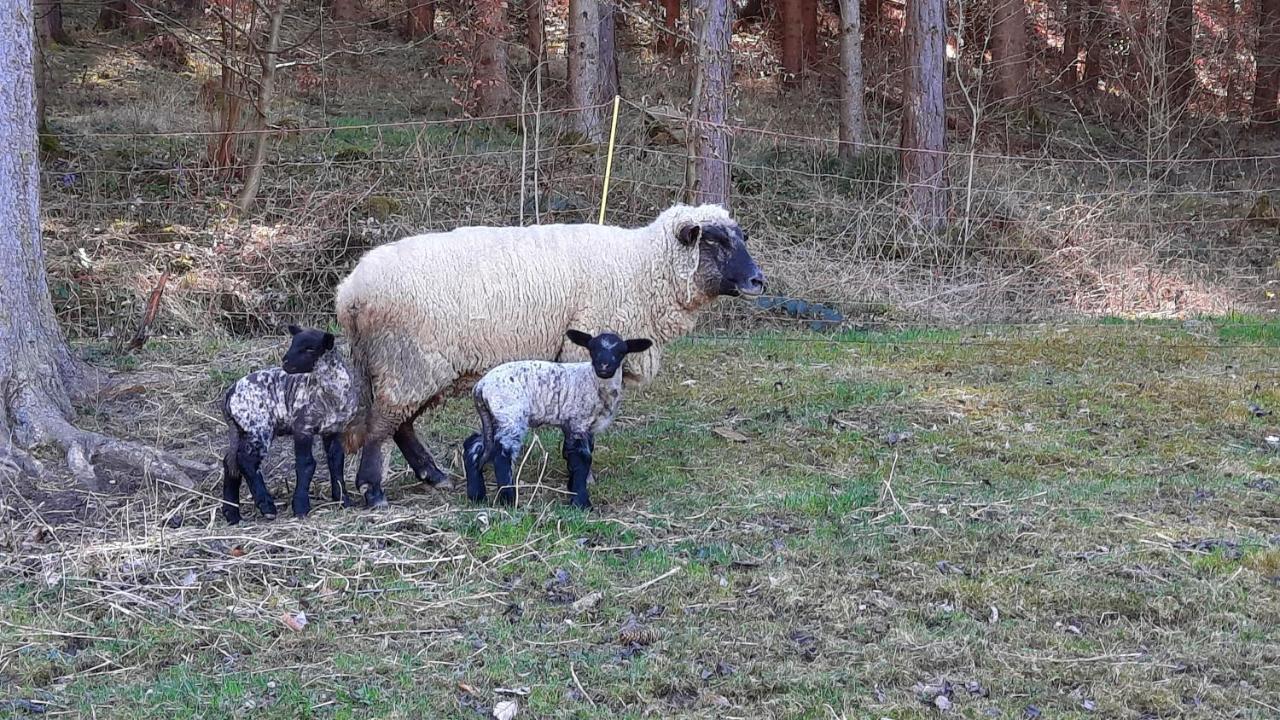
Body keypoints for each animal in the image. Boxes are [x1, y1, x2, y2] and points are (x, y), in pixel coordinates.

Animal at [221, 325, 358, 520]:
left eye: (310, 348)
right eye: (293, 343)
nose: (285, 361)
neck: (331, 393)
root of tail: (229, 394)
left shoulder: (335, 429)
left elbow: (336, 461)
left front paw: (343, 500)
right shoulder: (302, 426)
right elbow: (306, 464)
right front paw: (301, 507)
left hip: (240, 428)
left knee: (231, 462)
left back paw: (232, 513)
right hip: (259, 426)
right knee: (246, 461)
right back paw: (266, 506)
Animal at [460, 327, 650, 507]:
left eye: (621, 352)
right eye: (592, 349)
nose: (604, 367)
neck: (594, 383)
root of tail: (480, 386)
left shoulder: (580, 426)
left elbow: (575, 453)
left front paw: (574, 486)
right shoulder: (578, 422)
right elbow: (582, 458)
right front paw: (581, 501)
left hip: (494, 418)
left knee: (474, 445)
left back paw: (476, 495)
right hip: (511, 416)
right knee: (502, 456)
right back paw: (508, 499)